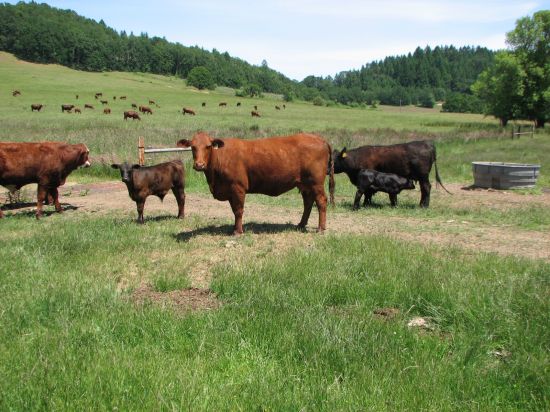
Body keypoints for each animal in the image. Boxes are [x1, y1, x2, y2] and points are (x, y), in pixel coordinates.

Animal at [179, 132, 336, 235]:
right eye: (192, 147)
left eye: (208, 146)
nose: (199, 165)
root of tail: (319, 138)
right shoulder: (229, 191)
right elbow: (234, 210)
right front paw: (234, 228)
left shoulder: (238, 188)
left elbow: (238, 210)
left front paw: (238, 231)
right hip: (305, 184)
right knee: (308, 203)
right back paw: (301, 224)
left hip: (316, 183)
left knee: (321, 201)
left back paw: (321, 228)